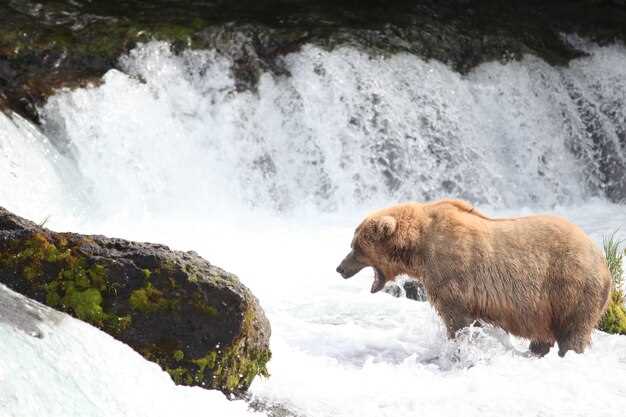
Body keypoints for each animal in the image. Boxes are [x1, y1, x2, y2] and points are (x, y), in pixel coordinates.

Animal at [336, 200, 608, 356]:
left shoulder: (452, 273)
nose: (340, 268)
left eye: (355, 247)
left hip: (570, 286)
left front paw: (458, 350)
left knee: (573, 330)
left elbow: (457, 319)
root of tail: (601, 257)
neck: (418, 248)